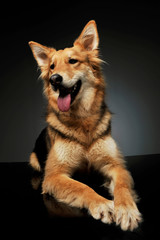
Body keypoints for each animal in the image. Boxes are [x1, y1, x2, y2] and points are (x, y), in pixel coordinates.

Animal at [28, 19, 141, 230]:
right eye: (52, 67)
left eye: (73, 61)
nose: (54, 79)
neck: (82, 120)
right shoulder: (54, 175)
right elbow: (81, 186)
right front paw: (102, 204)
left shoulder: (115, 165)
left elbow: (122, 187)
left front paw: (126, 209)